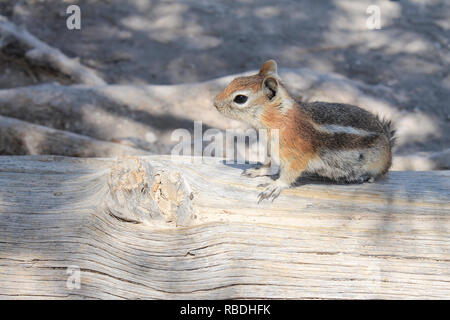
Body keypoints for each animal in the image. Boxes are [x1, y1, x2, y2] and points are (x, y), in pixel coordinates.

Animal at [214, 59, 394, 202]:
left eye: (240, 98)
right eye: (234, 80)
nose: (215, 103)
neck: (279, 119)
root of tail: (387, 141)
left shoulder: (297, 156)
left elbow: (289, 174)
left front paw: (275, 186)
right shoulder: (273, 150)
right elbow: (272, 166)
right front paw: (259, 171)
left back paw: (366, 176)